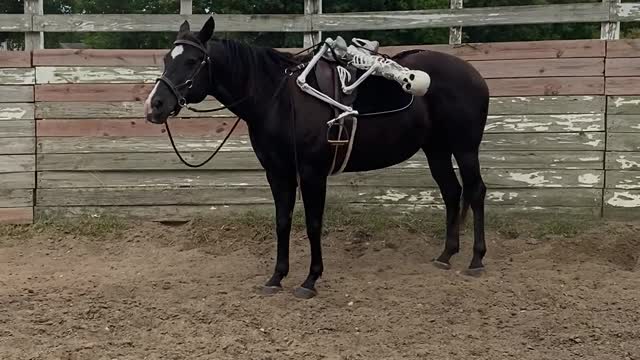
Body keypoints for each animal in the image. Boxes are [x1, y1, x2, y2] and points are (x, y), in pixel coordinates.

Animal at [142, 16, 488, 298]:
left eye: (192, 60)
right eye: (166, 58)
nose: (155, 105)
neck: (279, 99)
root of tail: (474, 75)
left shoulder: (312, 173)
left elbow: (312, 223)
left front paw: (310, 280)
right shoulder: (278, 173)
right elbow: (282, 222)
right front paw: (276, 278)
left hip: (465, 149)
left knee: (475, 191)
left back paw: (476, 259)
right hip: (437, 150)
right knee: (452, 192)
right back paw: (446, 256)